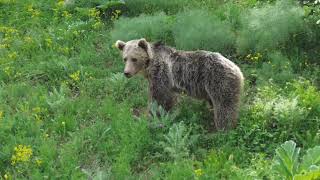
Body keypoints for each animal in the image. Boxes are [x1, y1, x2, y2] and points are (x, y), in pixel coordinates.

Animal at [116, 38, 244, 131]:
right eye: (125, 58)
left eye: (134, 59)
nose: (126, 73)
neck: (149, 66)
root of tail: (237, 69)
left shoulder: (161, 74)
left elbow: (159, 98)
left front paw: (153, 116)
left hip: (218, 80)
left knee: (224, 106)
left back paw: (223, 128)